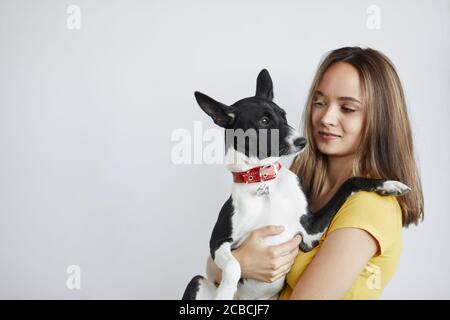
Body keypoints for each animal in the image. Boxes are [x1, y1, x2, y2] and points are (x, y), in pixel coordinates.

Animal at [183, 69, 412, 300]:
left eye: (283, 115)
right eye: (264, 121)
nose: (303, 141)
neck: (264, 182)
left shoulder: (310, 233)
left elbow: (350, 181)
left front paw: (388, 184)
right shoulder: (217, 240)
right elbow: (233, 265)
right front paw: (225, 292)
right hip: (197, 282)